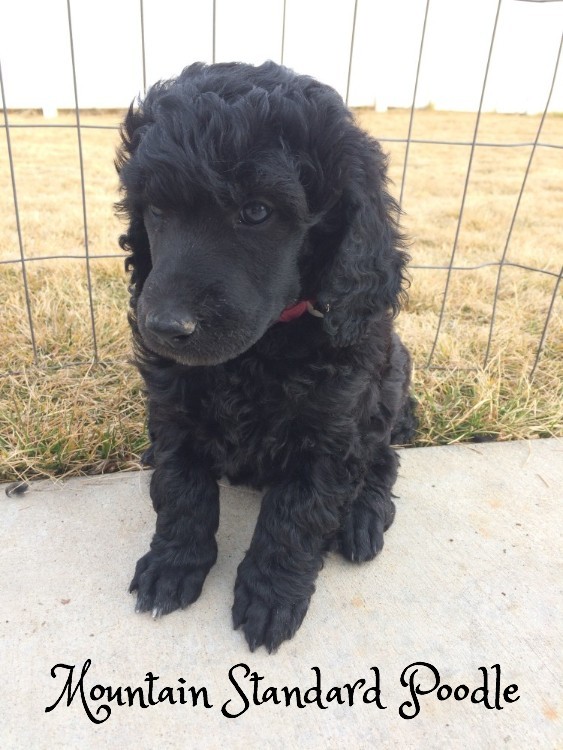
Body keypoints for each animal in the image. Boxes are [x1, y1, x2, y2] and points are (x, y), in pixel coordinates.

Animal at [115, 61, 414, 656]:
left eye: (256, 211)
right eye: (156, 210)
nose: (163, 327)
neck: (258, 351)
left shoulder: (330, 433)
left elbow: (294, 517)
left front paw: (271, 595)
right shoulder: (174, 408)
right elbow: (181, 490)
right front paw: (172, 565)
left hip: (388, 385)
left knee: (384, 460)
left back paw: (363, 519)